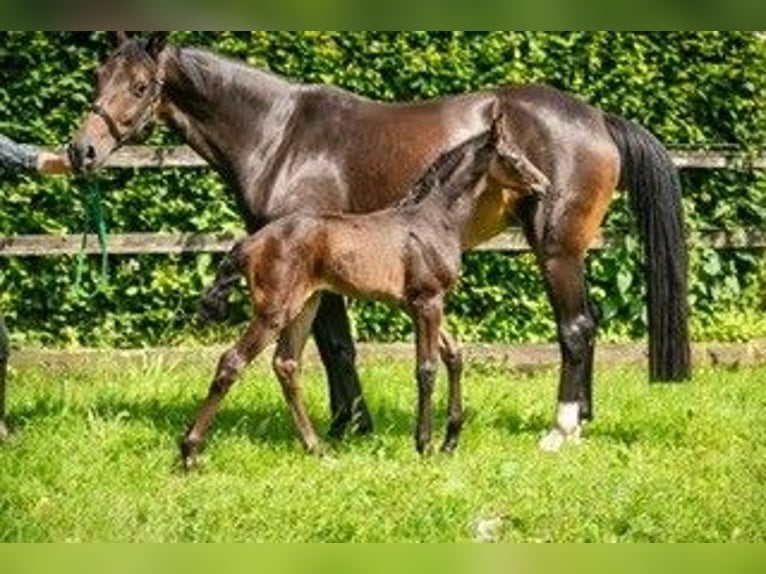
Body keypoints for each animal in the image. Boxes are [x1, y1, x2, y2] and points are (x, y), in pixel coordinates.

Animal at [180, 116, 552, 468]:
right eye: (514, 158)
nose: (545, 185)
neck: (434, 220)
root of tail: (252, 243)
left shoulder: (419, 303)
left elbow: (454, 355)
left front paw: (450, 441)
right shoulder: (426, 300)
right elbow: (427, 367)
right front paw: (425, 444)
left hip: (306, 304)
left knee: (286, 364)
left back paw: (316, 447)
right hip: (275, 310)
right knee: (232, 361)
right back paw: (190, 451)